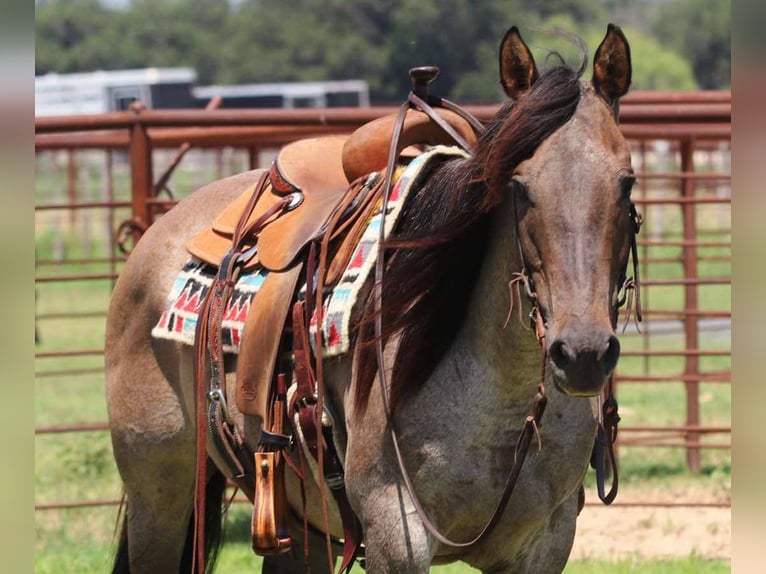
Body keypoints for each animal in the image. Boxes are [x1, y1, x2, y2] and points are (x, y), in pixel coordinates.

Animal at [106, 24, 635, 573]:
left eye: (626, 183)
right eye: (519, 186)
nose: (583, 353)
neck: (502, 409)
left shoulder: (546, 542)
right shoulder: (394, 536)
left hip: (301, 524)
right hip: (158, 501)